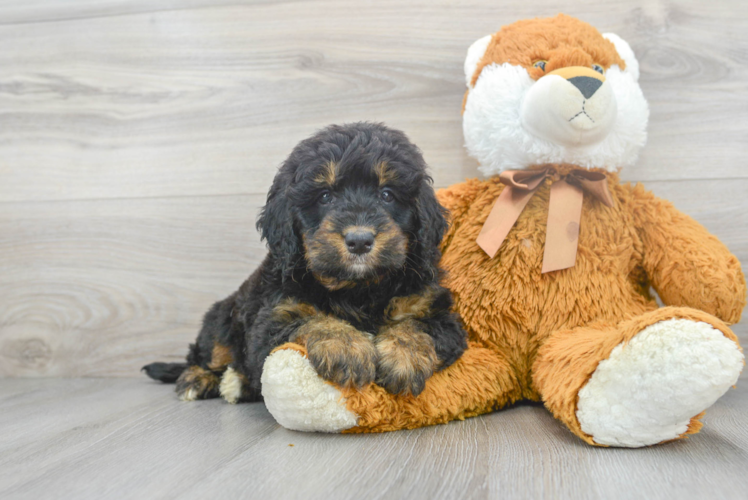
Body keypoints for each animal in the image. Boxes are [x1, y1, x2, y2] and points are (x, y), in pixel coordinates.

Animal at [142, 123, 464, 404]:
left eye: (387, 194)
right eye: (325, 196)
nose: (359, 240)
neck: (358, 288)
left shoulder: (438, 313)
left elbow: (417, 325)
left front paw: (403, 358)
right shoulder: (274, 315)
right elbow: (312, 319)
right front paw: (346, 346)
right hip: (221, 321)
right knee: (204, 355)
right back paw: (198, 380)